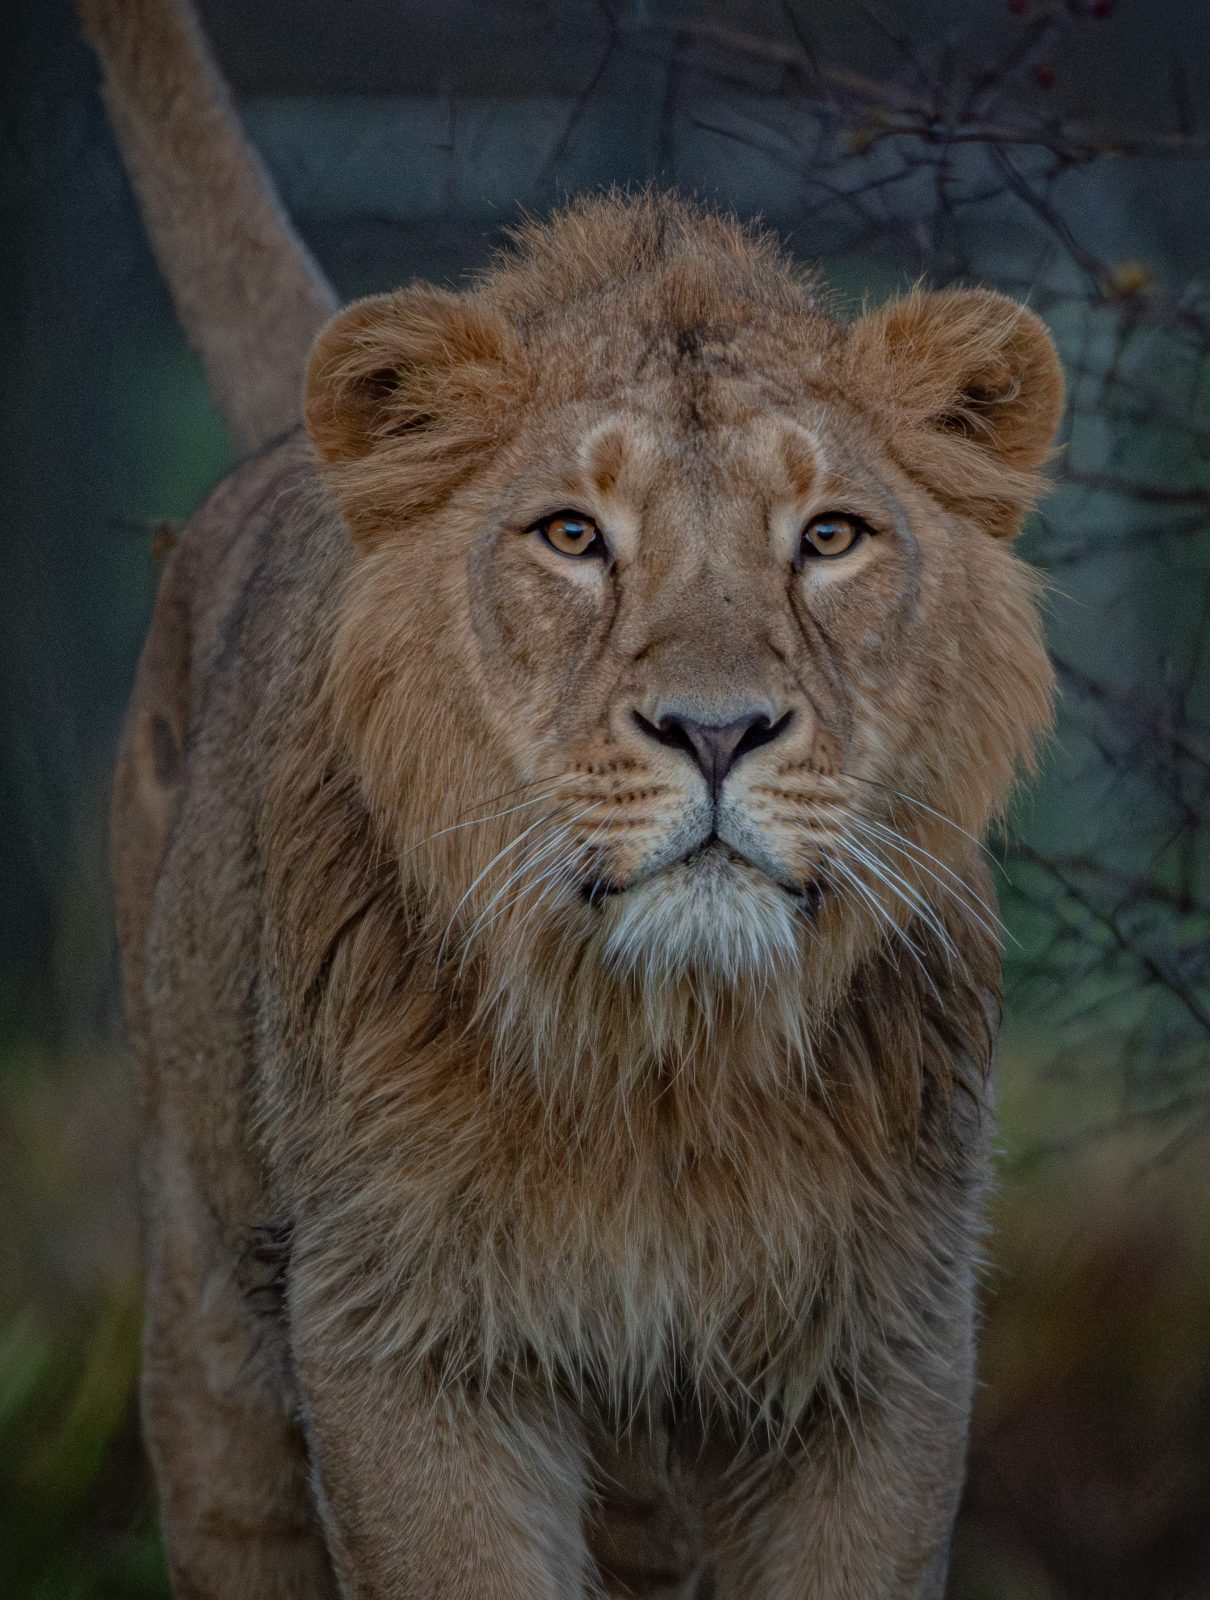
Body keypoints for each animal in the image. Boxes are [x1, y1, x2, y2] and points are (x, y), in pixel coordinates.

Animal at [86, 0, 1063, 1594]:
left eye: (830, 537)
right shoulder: (401, 1338)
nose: (717, 730)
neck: (660, 1068)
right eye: (570, 536)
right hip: (209, 1321)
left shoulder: (881, 1350)